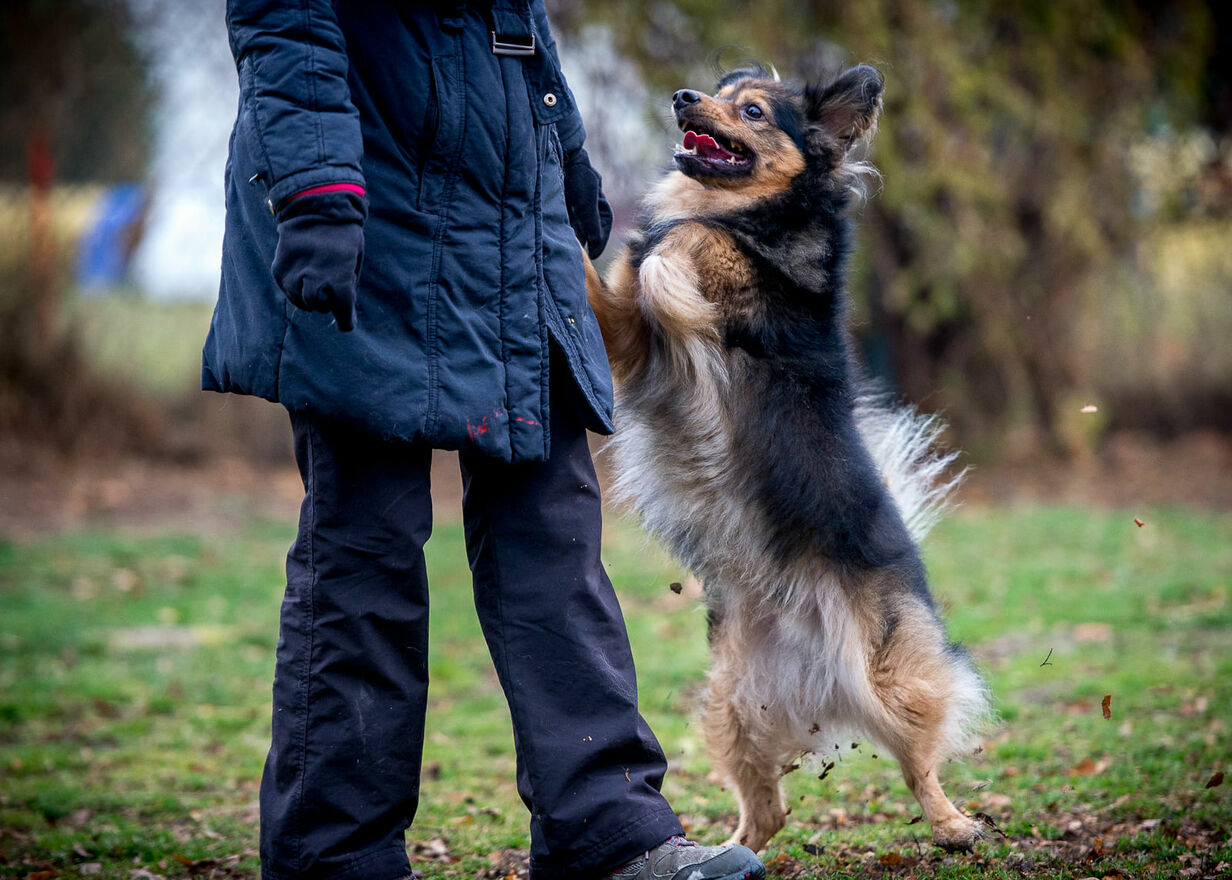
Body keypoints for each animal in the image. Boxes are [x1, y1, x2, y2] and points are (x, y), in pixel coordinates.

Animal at [582, 64, 992, 853]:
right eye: (715, 91)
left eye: (750, 110)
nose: (683, 98)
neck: (748, 211)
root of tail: (817, 675)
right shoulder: (629, 342)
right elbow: (620, 277)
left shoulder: (755, 299)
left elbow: (696, 246)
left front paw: (669, 253)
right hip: (732, 706)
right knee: (767, 808)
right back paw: (730, 851)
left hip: (888, 675)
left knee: (921, 761)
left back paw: (954, 824)